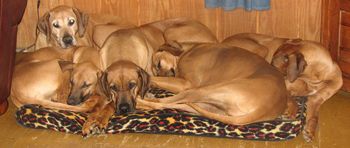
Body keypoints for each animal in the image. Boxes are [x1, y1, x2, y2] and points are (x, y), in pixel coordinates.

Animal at [137, 43, 292, 126]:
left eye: (158, 64)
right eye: (156, 68)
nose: (160, 74)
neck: (187, 51)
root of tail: (269, 106)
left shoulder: (186, 83)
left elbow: (153, 80)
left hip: (203, 90)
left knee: (160, 102)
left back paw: (139, 101)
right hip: (209, 105)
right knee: (169, 104)